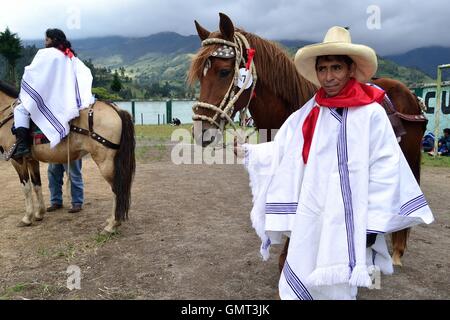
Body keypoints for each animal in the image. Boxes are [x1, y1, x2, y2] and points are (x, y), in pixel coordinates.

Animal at [0, 80, 135, 234]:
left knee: (117, 189)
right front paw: (39, 213)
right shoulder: (31, 160)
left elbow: (26, 188)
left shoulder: (17, 160)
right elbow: (36, 185)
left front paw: (27, 218)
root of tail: (115, 109)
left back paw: (112, 225)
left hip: (105, 162)